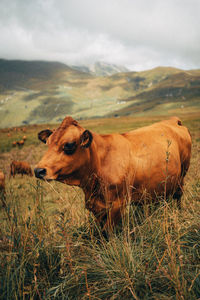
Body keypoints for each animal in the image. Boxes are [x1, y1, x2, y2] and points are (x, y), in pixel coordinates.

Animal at [34, 116, 192, 231]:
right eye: (47, 143)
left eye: (69, 145)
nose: (38, 170)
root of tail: (173, 120)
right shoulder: (96, 206)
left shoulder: (118, 204)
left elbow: (108, 231)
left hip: (182, 174)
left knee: (178, 196)